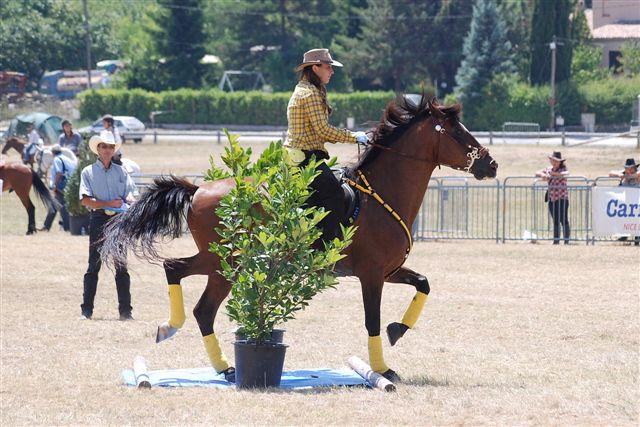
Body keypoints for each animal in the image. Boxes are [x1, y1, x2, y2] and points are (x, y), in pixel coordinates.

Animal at [101, 98, 500, 384]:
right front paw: (383, 368)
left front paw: (397, 330)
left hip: (217, 262)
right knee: (196, 298)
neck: (381, 196)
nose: (491, 165)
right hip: (226, 263)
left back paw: (194, 345)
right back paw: (207, 353)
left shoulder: (390, 270)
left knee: (181, 277)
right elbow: (371, 321)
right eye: (458, 133)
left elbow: (423, 284)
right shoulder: (371, 275)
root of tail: (199, 189)